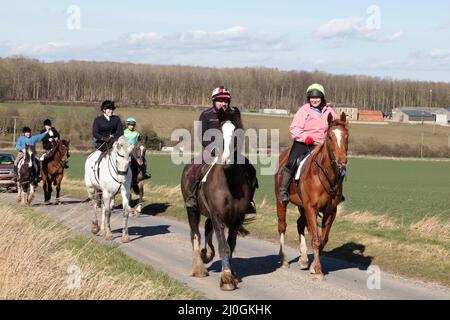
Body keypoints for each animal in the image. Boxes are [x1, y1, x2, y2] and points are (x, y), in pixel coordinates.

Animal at [180, 109, 256, 292]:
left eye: (237, 133)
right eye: (218, 132)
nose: (226, 160)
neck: (229, 182)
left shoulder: (237, 218)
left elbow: (230, 245)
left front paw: (231, 273)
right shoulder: (218, 216)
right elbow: (223, 246)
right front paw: (227, 278)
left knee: (207, 228)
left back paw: (207, 254)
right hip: (192, 210)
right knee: (195, 235)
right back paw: (199, 268)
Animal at [274, 112, 348, 280]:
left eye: (346, 136)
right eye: (330, 137)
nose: (341, 161)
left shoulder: (330, 211)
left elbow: (323, 239)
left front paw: (314, 266)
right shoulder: (311, 208)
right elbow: (315, 239)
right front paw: (318, 270)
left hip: (302, 207)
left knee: (300, 224)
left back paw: (302, 259)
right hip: (282, 202)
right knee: (282, 226)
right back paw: (284, 259)